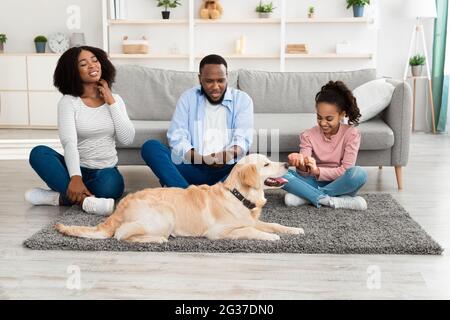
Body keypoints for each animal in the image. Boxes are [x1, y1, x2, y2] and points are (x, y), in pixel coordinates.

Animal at [54, 153, 304, 242]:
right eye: (266, 164)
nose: (287, 163)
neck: (238, 195)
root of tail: (122, 205)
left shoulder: (252, 218)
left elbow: (272, 224)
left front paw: (294, 229)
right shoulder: (218, 232)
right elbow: (249, 230)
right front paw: (269, 237)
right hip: (165, 215)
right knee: (120, 234)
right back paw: (158, 240)